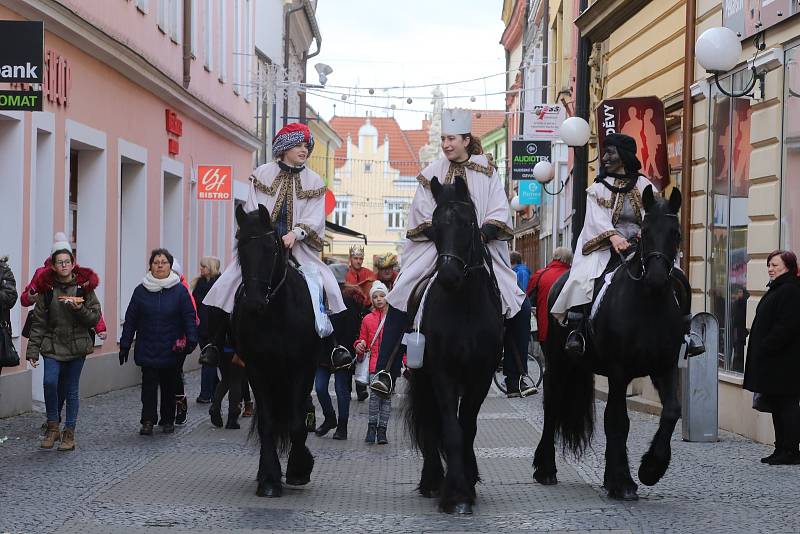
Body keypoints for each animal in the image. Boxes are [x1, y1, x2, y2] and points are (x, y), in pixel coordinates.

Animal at [231, 204, 318, 498]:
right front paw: (269, 478)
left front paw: (298, 469)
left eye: (271, 248)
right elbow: (267, 423)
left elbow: (297, 422)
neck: (275, 315)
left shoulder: (303, 368)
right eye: (240, 247)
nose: (254, 303)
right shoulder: (257, 370)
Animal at [410, 175, 504, 516]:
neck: (464, 306)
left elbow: (468, 429)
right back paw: (432, 479)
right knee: (429, 423)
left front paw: (467, 484)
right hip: (422, 379)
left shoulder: (481, 376)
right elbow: (451, 431)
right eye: (435, 226)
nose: (448, 275)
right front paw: (455, 494)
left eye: (467, 223)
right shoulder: (441, 374)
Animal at [536, 185, 684, 502]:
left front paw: (650, 469)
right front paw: (624, 482)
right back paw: (545, 469)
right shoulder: (619, 371)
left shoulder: (665, 368)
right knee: (552, 407)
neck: (648, 306)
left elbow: (671, 412)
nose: (656, 278)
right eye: (645, 230)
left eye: (676, 232)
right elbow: (618, 421)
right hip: (557, 364)